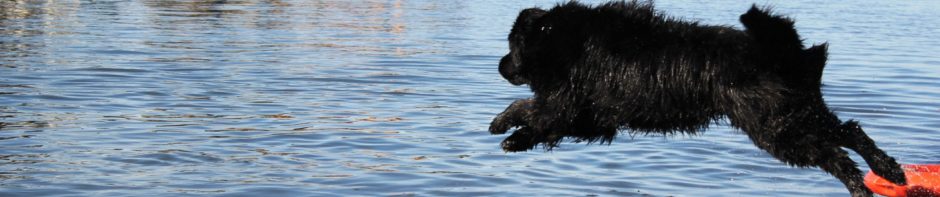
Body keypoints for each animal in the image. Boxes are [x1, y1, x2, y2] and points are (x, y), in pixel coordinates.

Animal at [492, 1, 912, 195]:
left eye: (512, 46)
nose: (499, 65)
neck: (569, 43)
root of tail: (783, 53)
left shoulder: (573, 100)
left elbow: (535, 110)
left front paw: (506, 127)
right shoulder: (593, 117)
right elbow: (545, 121)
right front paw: (513, 135)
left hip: (776, 126)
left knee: (836, 150)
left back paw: (864, 182)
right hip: (797, 112)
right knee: (848, 132)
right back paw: (888, 172)